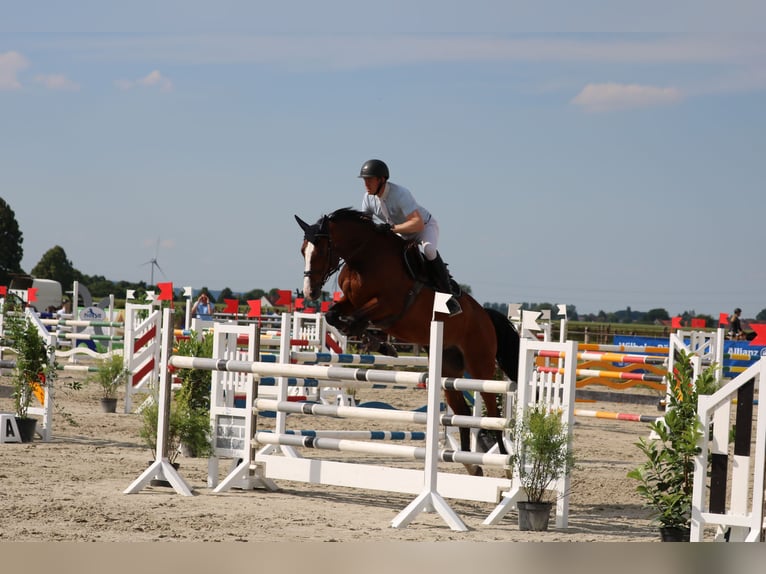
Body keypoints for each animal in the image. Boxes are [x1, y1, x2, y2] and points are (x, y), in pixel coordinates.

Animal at [294, 207, 520, 476]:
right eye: (303, 251)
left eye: (319, 250)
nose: (310, 292)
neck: (364, 258)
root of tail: (485, 315)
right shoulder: (350, 301)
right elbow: (333, 316)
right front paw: (377, 342)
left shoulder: (388, 304)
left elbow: (356, 318)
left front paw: (376, 340)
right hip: (448, 371)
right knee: (462, 413)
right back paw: (470, 463)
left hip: (480, 367)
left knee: (493, 414)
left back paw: (506, 465)